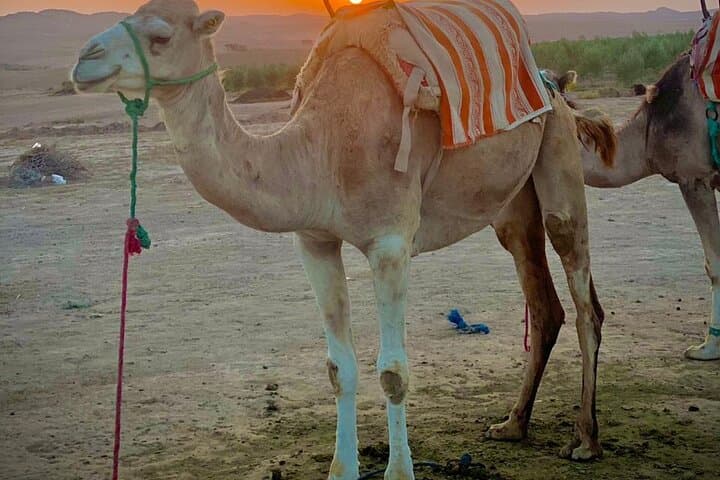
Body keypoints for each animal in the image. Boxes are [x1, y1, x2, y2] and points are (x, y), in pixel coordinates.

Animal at [72, 1, 612, 477]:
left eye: (160, 36)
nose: (84, 59)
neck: (323, 147)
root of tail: (555, 85)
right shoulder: (314, 241)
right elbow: (339, 369)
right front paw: (342, 469)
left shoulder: (391, 243)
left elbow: (393, 372)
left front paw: (398, 472)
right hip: (512, 208)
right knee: (543, 301)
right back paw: (512, 425)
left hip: (558, 152)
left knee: (582, 294)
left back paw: (585, 441)